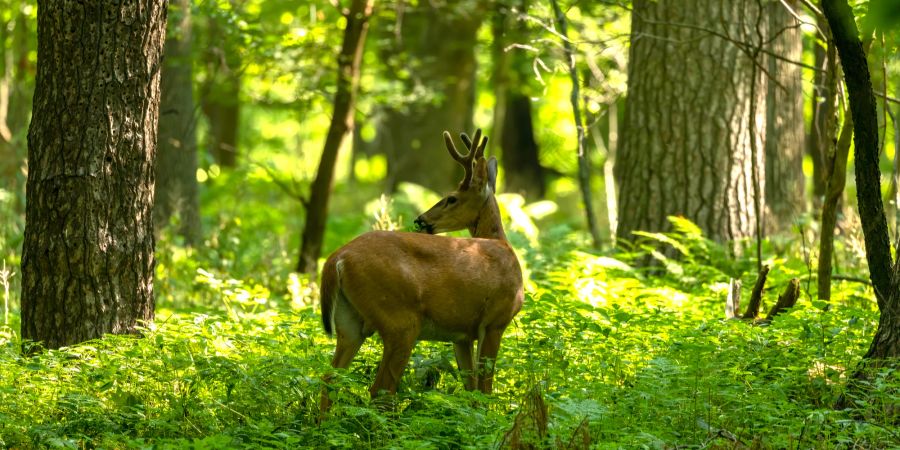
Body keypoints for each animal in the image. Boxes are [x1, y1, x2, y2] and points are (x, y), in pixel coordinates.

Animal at [320, 127, 524, 412]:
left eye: (451, 198)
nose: (421, 219)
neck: (502, 244)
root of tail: (337, 259)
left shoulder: (462, 335)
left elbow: (471, 390)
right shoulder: (496, 319)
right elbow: (484, 391)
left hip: (349, 321)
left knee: (329, 377)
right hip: (400, 320)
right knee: (380, 389)